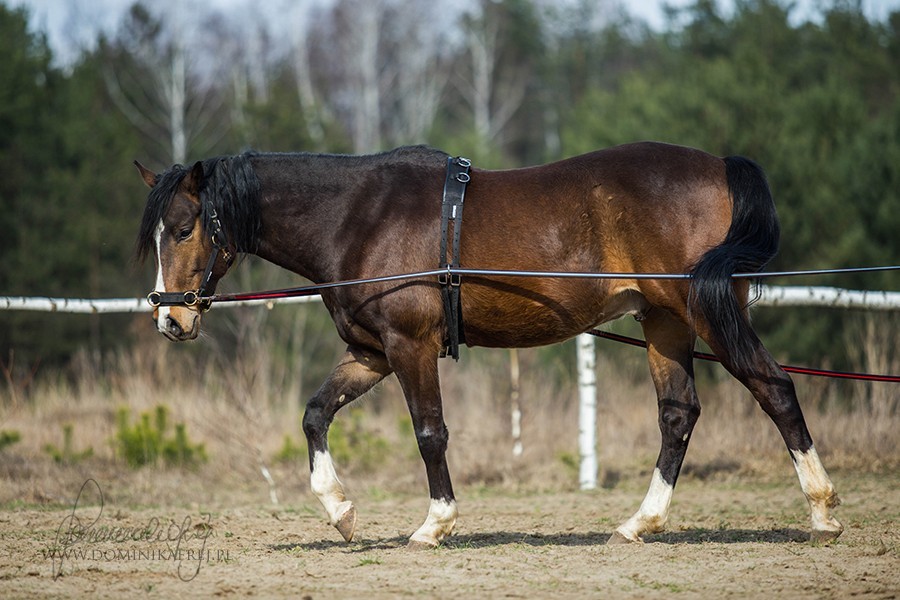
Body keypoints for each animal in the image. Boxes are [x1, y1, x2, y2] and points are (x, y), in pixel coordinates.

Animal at [134, 142, 843, 547]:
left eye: (186, 225)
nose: (171, 320)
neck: (359, 216)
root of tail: (720, 166)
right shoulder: (371, 353)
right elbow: (314, 414)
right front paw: (340, 512)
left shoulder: (410, 347)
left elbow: (430, 432)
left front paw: (435, 523)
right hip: (663, 322)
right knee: (678, 415)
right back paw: (640, 523)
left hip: (708, 313)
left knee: (775, 388)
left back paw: (823, 512)